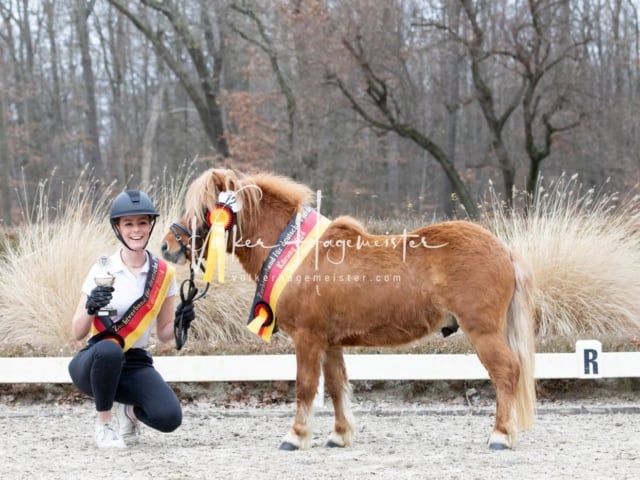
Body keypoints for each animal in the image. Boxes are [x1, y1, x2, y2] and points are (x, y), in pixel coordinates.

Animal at [160, 168, 536, 450]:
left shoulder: (308, 338)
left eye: (205, 209)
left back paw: (500, 436)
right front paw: (339, 436)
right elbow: (337, 385)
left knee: (506, 373)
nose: (167, 245)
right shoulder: (330, 343)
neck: (296, 252)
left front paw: (295, 437)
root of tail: (504, 250)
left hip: (484, 332)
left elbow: (305, 386)